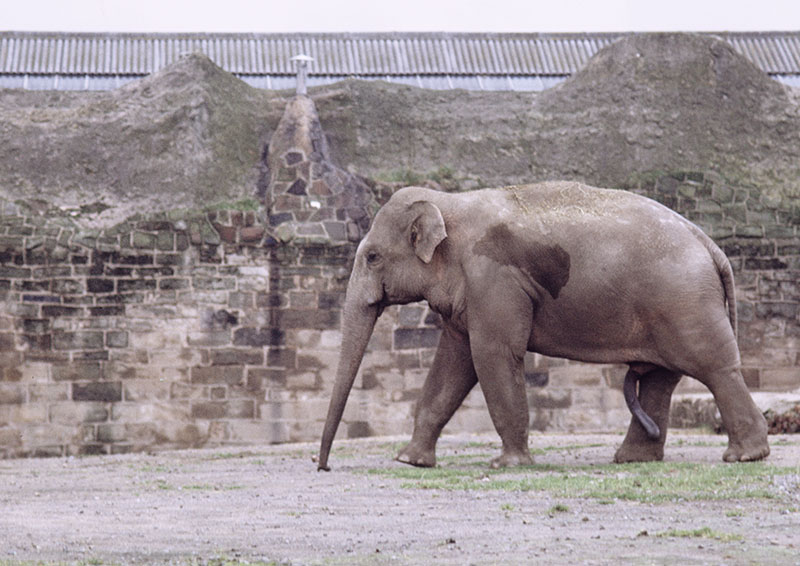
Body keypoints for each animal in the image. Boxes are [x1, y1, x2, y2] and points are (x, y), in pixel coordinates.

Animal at [316, 181, 770, 471]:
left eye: (372, 256)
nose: (322, 467)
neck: (450, 204)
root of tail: (710, 244)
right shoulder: (472, 292)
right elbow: (453, 364)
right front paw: (410, 461)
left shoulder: (493, 277)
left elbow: (493, 355)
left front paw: (508, 464)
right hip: (670, 306)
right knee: (661, 379)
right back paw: (632, 459)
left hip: (684, 302)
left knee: (716, 368)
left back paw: (744, 457)